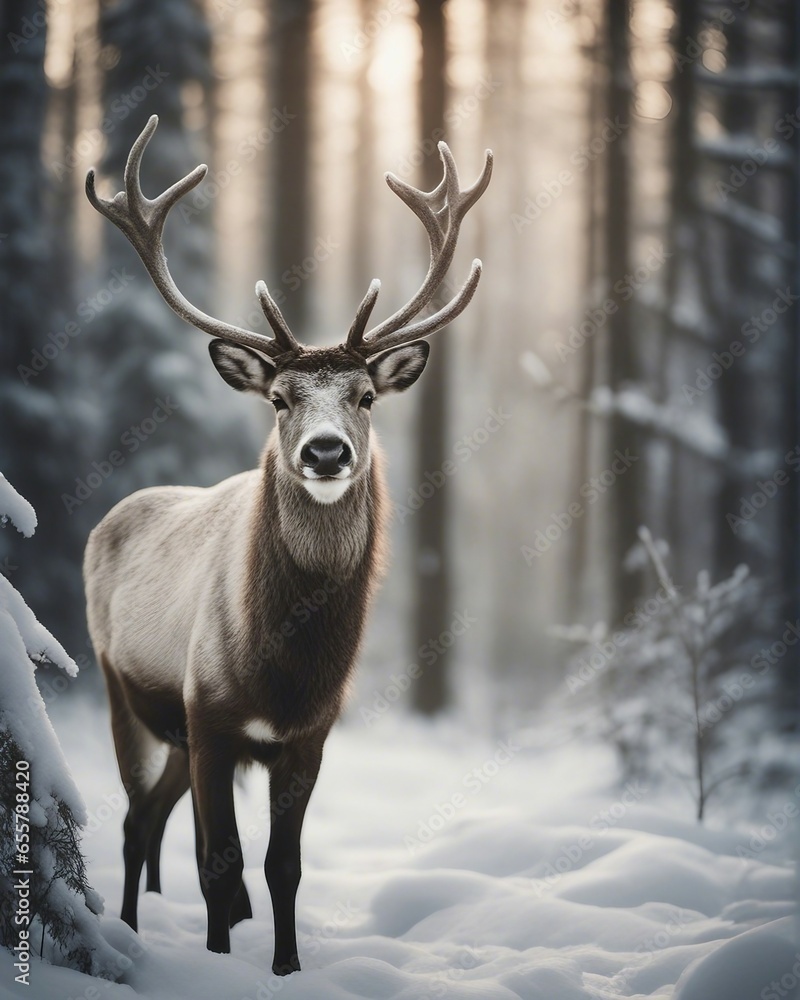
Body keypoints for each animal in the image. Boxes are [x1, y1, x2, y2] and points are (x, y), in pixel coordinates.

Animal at [83, 115, 492, 975]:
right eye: (277, 398)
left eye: (366, 396)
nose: (326, 451)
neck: (281, 668)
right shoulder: (209, 714)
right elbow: (220, 859)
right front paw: (217, 958)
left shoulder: (309, 735)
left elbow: (283, 865)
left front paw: (285, 967)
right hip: (117, 685)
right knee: (135, 823)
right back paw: (130, 930)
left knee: (154, 818)